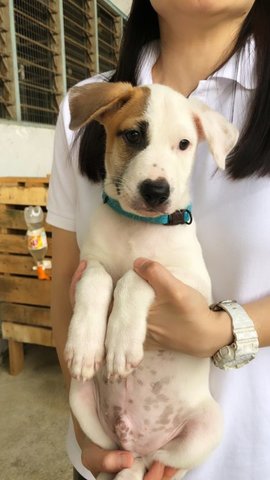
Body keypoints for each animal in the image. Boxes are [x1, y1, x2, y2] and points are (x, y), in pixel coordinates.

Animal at [64, 80, 237, 478]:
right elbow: (98, 280)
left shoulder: (192, 285)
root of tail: (135, 440)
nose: (157, 191)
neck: (138, 227)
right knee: (120, 456)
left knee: (152, 462)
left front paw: (121, 342)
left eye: (184, 144)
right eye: (133, 135)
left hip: (207, 428)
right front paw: (86, 344)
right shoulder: (88, 263)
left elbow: (134, 275)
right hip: (79, 400)